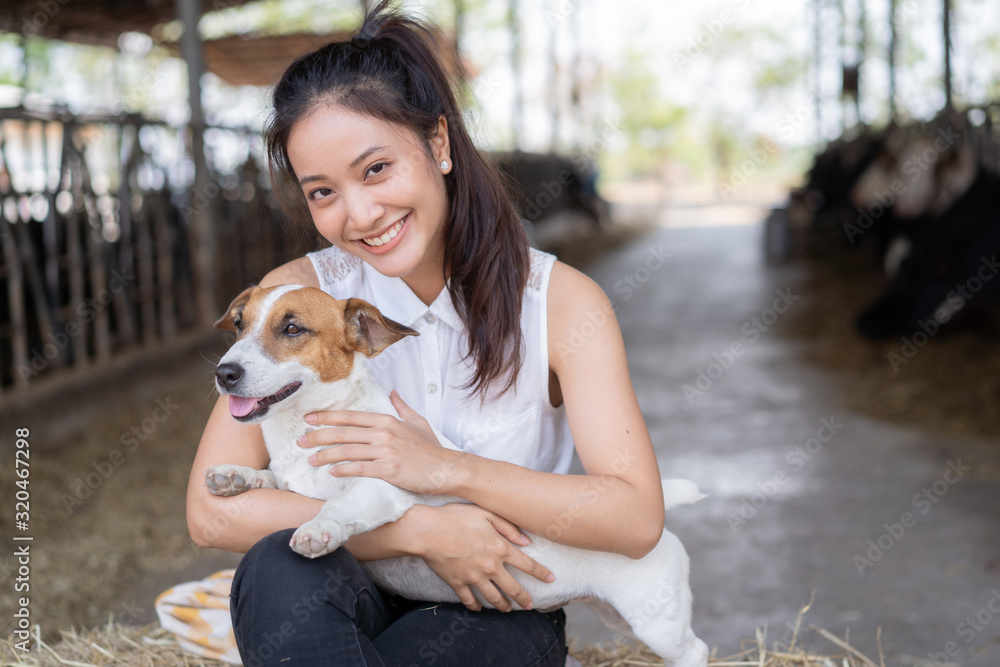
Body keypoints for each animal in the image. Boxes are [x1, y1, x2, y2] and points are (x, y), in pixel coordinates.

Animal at [205, 284, 712, 664]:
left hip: (657, 623)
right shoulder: (290, 479)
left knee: (696, 650)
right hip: (613, 614)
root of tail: (662, 524)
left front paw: (317, 529)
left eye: (292, 328)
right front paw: (233, 476)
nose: (224, 372)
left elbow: (339, 504)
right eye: (239, 324)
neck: (302, 429)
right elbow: (269, 477)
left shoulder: (380, 488)